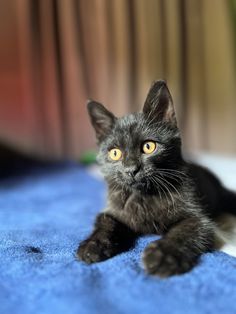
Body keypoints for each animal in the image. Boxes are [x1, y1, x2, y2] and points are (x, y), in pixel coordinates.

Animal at [77, 80, 236, 278]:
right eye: (115, 153)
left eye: (148, 146)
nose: (131, 169)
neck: (143, 196)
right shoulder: (114, 209)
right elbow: (106, 223)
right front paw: (92, 245)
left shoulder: (198, 219)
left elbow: (183, 232)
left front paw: (163, 255)